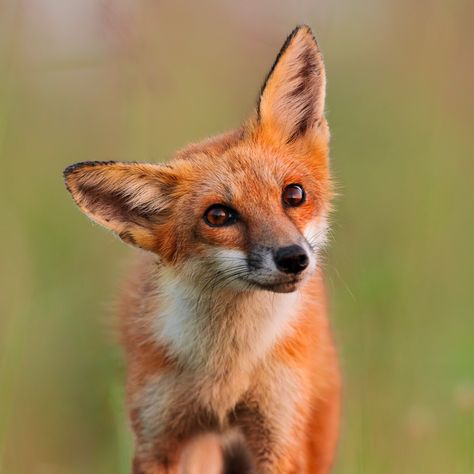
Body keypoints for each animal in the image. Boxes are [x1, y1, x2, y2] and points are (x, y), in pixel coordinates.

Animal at [65, 25, 342, 474]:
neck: (226, 372)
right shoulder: (158, 437)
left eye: (294, 195)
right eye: (218, 216)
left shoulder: (279, 436)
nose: (293, 258)